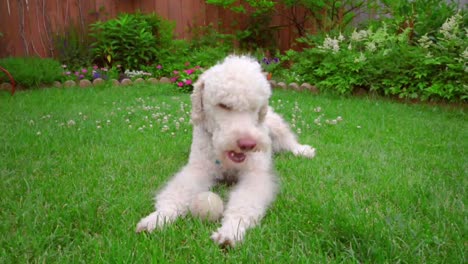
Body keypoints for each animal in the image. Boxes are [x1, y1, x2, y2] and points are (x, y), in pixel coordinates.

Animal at [137, 55, 316, 248]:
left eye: (254, 107)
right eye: (223, 105)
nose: (248, 144)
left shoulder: (254, 175)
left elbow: (244, 203)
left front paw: (231, 230)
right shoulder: (198, 169)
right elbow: (177, 193)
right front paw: (158, 218)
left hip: (276, 126)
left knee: (289, 141)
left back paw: (303, 151)